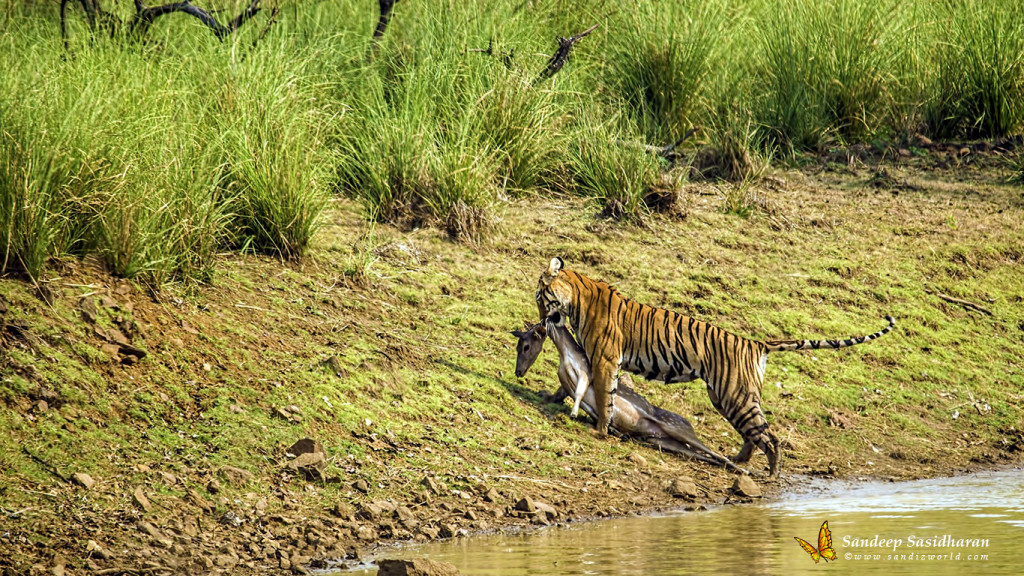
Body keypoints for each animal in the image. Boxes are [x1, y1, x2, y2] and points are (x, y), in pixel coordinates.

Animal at [536, 256, 897, 475]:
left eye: (541, 296)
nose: (540, 320)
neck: (576, 298)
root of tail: (756, 343)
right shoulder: (600, 359)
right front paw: (552, 398)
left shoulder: (605, 359)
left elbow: (604, 396)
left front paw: (599, 430)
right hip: (732, 397)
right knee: (755, 432)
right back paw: (742, 459)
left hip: (732, 395)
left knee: (769, 436)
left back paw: (772, 474)